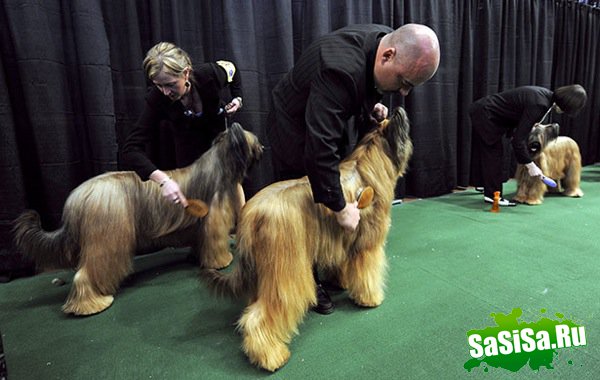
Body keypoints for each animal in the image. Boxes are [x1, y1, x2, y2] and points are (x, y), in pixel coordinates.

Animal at [13, 121, 262, 314]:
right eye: (255, 142)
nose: (263, 148)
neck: (220, 165)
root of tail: (77, 198)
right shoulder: (212, 223)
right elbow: (215, 244)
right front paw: (222, 261)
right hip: (107, 238)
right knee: (85, 274)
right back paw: (91, 304)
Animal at [202, 106, 412, 372]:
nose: (395, 109)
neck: (367, 161)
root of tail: (250, 215)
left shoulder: (339, 240)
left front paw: (340, 281)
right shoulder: (367, 244)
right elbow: (367, 273)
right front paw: (370, 298)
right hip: (285, 270)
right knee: (261, 315)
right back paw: (271, 356)